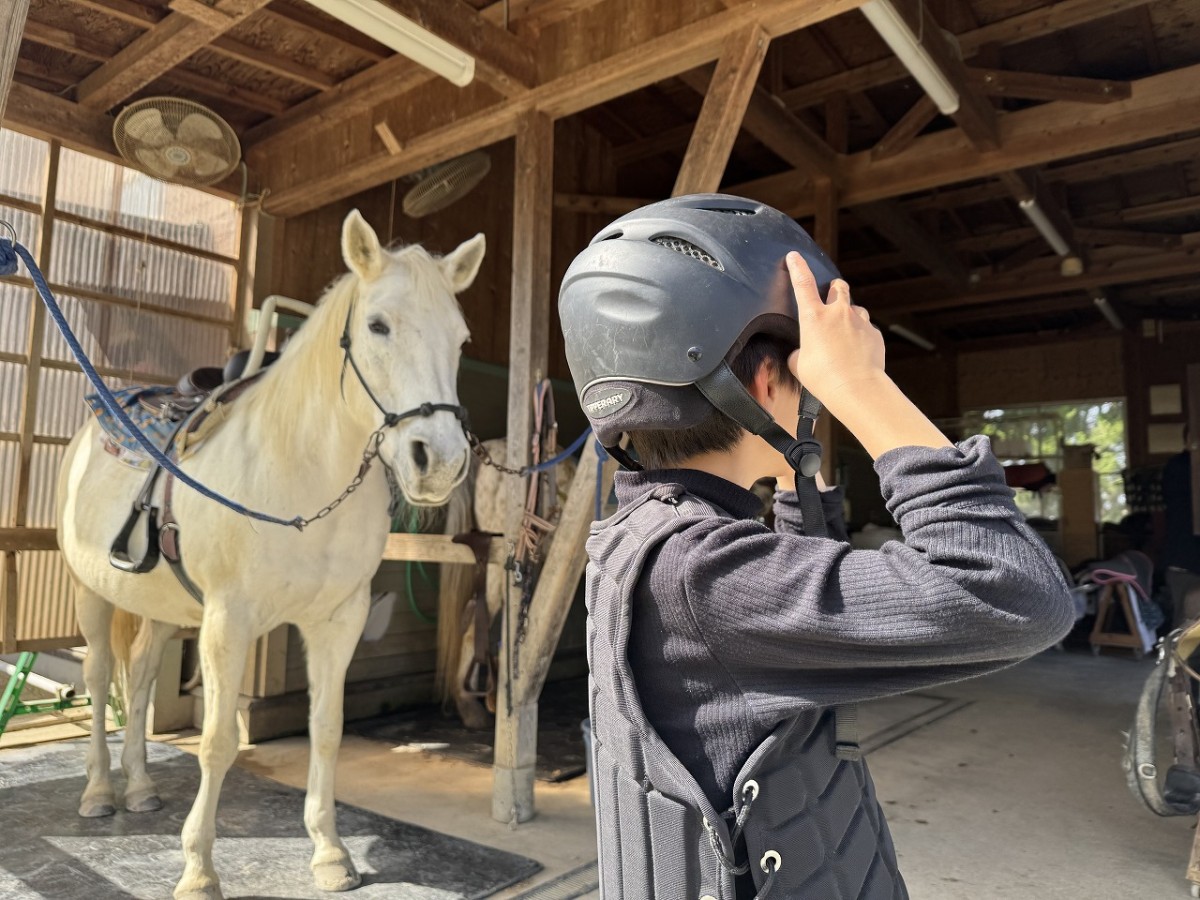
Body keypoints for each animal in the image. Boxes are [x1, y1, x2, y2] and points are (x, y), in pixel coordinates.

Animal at [55, 210, 485, 900]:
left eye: (463, 338)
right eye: (378, 325)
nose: (438, 461)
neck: (300, 472)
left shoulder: (338, 620)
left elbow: (327, 731)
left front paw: (331, 854)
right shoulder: (229, 621)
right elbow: (217, 742)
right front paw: (198, 870)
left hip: (162, 608)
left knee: (141, 673)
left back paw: (141, 787)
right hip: (91, 591)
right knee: (98, 677)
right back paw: (99, 792)